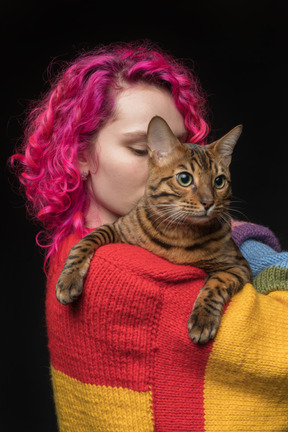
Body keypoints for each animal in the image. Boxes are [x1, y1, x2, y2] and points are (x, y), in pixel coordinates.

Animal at [56, 115, 252, 344]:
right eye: (184, 178)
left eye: (219, 182)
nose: (208, 202)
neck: (180, 233)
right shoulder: (117, 228)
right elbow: (87, 240)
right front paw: (68, 278)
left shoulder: (238, 266)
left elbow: (217, 282)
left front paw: (203, 318)